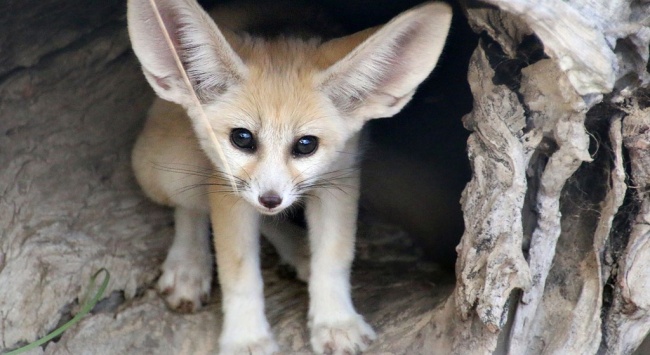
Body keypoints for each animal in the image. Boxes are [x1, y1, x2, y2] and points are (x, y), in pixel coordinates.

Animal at [126, 1, 450, 354]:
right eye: (242, 138)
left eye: (306, 144)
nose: (270, 199)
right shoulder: (226, 186)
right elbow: (239, 272)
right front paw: (247, 338)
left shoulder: (340, 177)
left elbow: (334, 257)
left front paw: (335, 322)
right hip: (165, 166)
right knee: (190, 207)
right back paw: (189, 264)